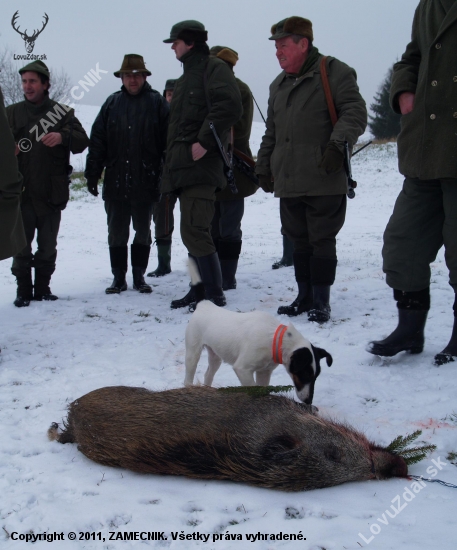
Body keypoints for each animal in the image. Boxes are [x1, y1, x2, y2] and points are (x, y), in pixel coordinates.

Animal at [183, 258, 332, 406]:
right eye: (305, 374)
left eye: (316, 376)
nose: (309, 401)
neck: (275, 339)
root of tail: (204, 303)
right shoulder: (242, 369)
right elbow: (253, 387)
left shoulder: (264, 372)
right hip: (193, 352)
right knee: (188, 378)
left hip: (215, 355)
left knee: (208, 374)